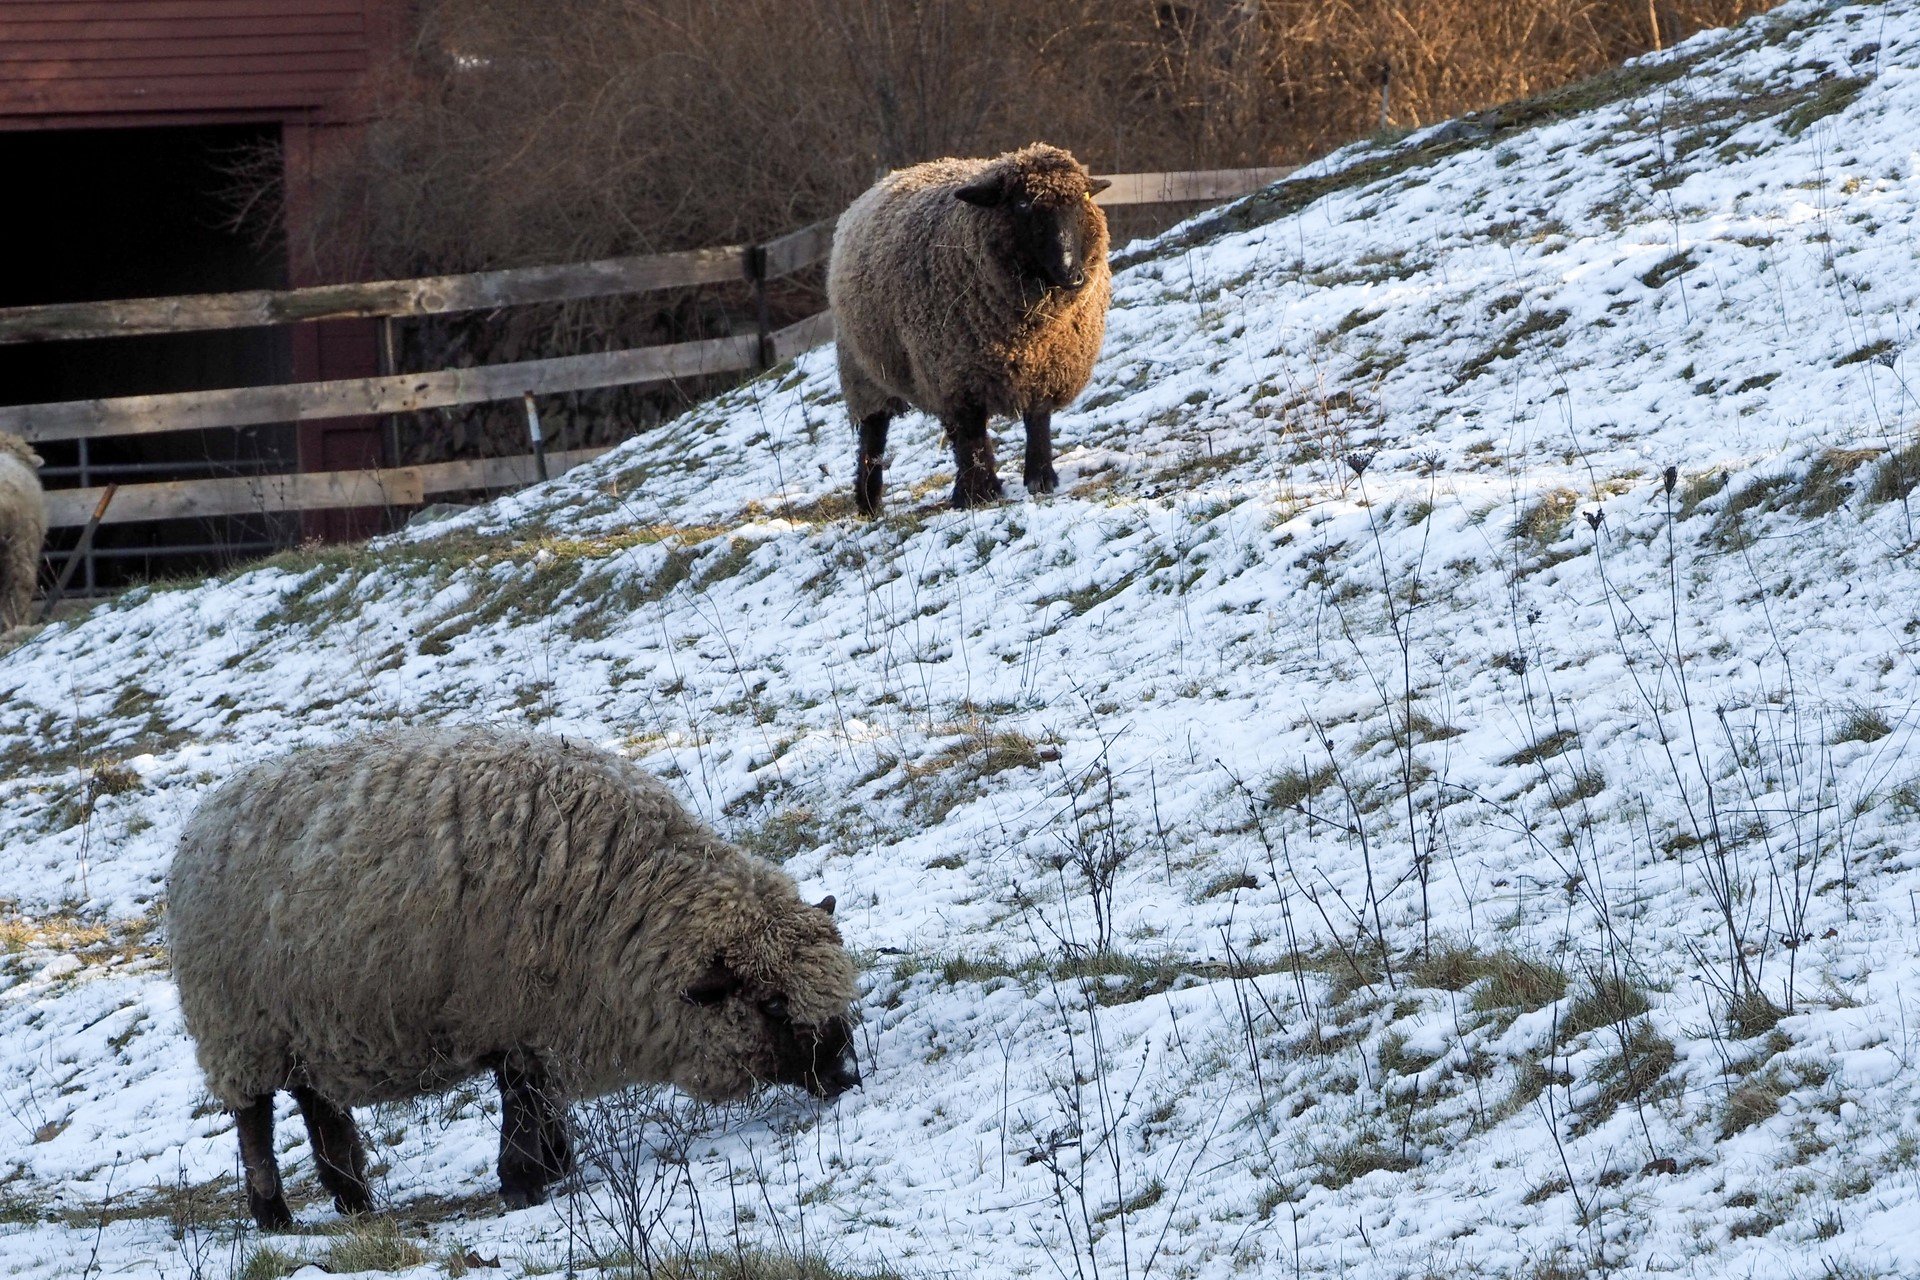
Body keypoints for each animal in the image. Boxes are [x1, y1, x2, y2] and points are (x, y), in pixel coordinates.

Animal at [172, 725, 864, 1228]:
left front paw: (553, 1166)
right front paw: (527, 1181)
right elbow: (524, 1099)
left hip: (307, 1027)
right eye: (772, 1005)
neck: (626, 901)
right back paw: (274, 1215)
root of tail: (205, 817)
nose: (845, 1076)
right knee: (255, 1121)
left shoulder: (542, 1016)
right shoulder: (511, 1010)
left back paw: (355, 1202)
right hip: (239, 1029)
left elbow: (540, 1096)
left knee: (320, 1111)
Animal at [833, 141, 1121, 514]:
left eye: (1081, 200)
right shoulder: (954, 375)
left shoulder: (1047, 364)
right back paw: (869, 502)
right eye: (1023, 205)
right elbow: (969, 435)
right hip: (863, 375)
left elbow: (1038, 419)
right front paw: (977, 493)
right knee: (873, 435)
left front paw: (1040, 479)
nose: (1073, 275)